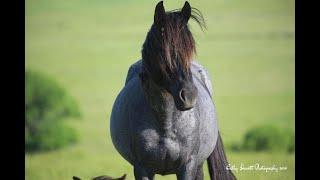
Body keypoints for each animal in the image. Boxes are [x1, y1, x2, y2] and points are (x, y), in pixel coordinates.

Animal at [109, 1, 235, 180]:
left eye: (190, 49)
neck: (165, 120)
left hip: (198, 165)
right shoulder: (142, 168)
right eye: (163, 50)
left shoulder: (187, 166)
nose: (189, 96)